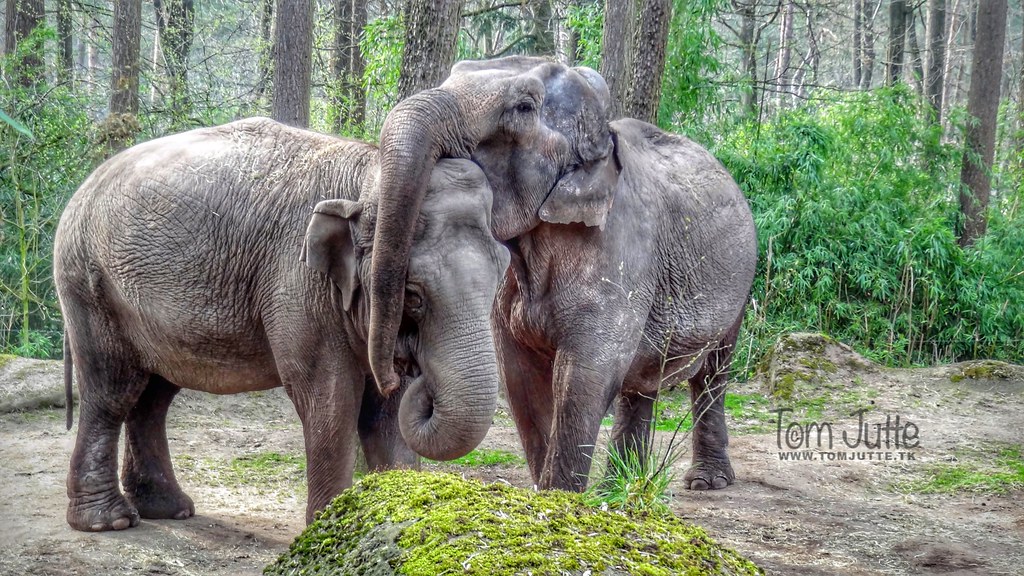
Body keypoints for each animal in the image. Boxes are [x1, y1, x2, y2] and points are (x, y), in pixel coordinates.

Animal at [51, 116, 507, 528]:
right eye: (412, 295)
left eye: (499, 278)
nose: (418, 376)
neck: (367, 175)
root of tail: (82, 188)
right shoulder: (297, 281)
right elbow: (329, 398)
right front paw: (327, 528)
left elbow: (386, 413)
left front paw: (393, 511)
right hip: (88, 284)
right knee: (113, 389)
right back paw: (108, 522)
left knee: (153, 396)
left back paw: (169, 510)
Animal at [364, 57, 757, 487]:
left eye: (523, 107)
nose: (396, 376)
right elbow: (520, 379)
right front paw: (545, 494)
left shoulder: (620, 254)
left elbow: (585, 376)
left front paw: (561, 497)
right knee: (642, 382)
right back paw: (616, 489)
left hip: (740, 282)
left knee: (713, 373)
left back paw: (704, 482)